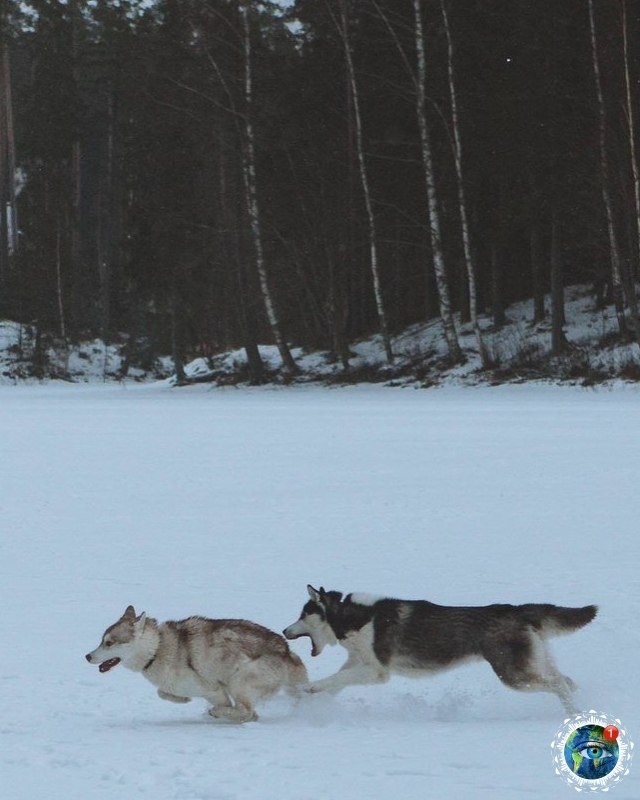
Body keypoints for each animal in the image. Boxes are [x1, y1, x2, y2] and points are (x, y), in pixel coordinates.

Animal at [87, 604, 308, 720]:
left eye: (109, 643)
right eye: (101, 640)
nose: (87, 656)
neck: (156, 649)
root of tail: (286, 652)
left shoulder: (213, 689)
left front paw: (218, 711)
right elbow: (162, 692)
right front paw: (182, 699)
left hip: (240, 681)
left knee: (248, 713)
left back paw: (218, 713)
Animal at [282, 584, 596, 708]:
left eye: (302, 614)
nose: (284, 631)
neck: (356, 618)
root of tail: (517, 610)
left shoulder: (378, 672)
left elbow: (334, 679)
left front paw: (310, 688)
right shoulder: (361, 663)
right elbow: (338, 680)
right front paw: (316, 700)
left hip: (513, 674)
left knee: (558, 685)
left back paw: (574, 714)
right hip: (531, 662)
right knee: (565, 680)